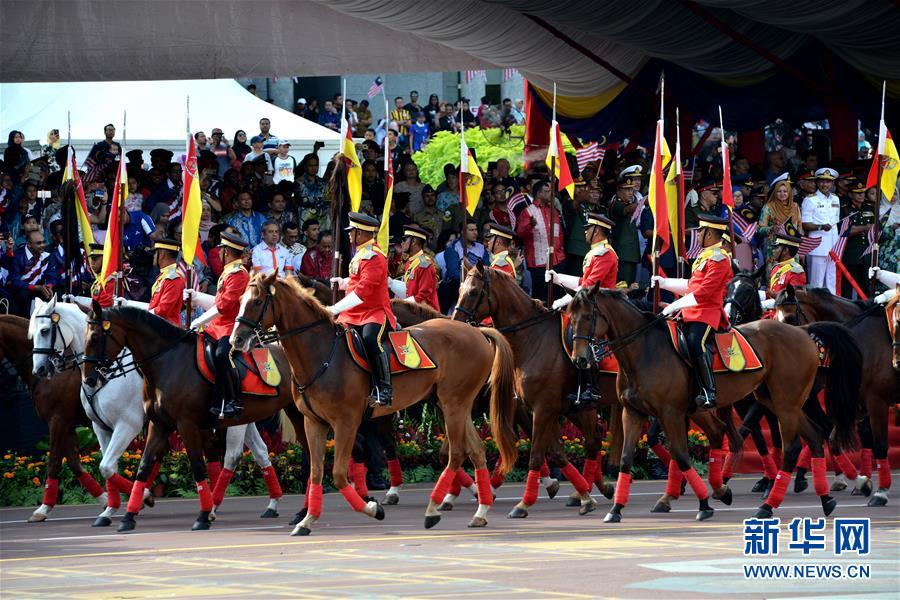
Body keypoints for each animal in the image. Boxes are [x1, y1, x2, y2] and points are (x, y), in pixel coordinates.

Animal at [0, 314, 108, 520]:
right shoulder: (67, 424)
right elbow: (74, 463)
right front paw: (106, 497)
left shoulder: (58, 421)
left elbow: (54, 462)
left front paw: (43, 508)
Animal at [82, 302, 312, 532]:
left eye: (95, 337)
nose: (89, 379)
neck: (167, 363)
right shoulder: (159, 425)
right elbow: (144, 467)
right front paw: (130, 515)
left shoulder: (183, 424)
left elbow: (197, 466)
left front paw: (202, 516)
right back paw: (296, 511)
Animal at [229, 272, 516, 536]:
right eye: (240, 300)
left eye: (256, 301)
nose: (236, 340)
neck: (322, 354)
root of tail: (476, 330)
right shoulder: (314, 423)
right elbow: (316, 472)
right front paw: (307, 519)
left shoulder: (347, 422)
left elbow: (339, 474)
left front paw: (371, 508)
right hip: (456, 404)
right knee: (476, 450)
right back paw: (480, 510)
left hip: (453, 404)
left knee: (456, 453)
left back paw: (434, 508)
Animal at [568, 286, 864, 520]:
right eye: (570, 318)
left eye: (588, 317)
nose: (580, 360)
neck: (644, 350)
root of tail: (803, 330)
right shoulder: (633, 413)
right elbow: (626, 460)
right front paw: (616, 508)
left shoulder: (671, 413)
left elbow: (681, 455)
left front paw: (704, 503)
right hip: (780, 402)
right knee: (814, 436)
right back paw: (825, 499)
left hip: (785, 405)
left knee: (791, 448)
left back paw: (769, 504)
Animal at [772, 286, 900, 506]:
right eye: (773, 317)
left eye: (789, 317)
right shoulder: (858, 402)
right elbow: (833, 438)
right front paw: (861, 482)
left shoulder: (877, 401)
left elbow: (879, 443)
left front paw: (879, 491)